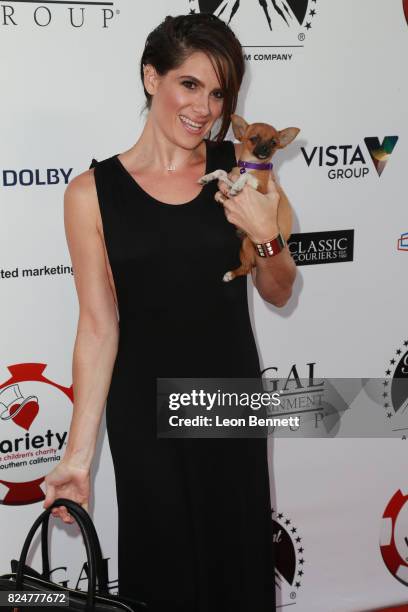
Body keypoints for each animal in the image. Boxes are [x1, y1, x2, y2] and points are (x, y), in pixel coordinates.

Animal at [198, 114, 300, 282]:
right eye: (254, 138)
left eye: (274, 143)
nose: (265, 149)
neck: (251, 165)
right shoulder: (229, 177)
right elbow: (221, 172)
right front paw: (208, 179)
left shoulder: (261, 189)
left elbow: (246, 177)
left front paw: (238, 186)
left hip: (247, 245)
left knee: (246, 268)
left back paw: (230, 274)